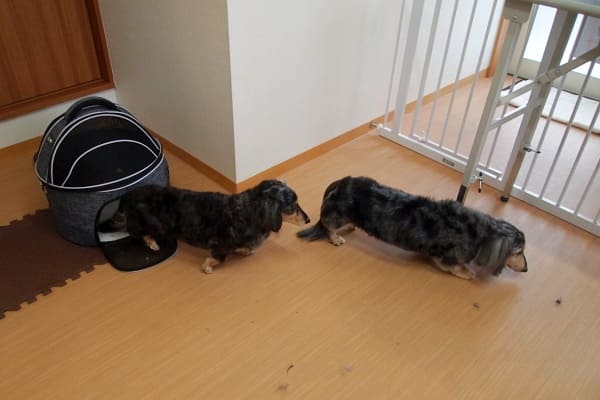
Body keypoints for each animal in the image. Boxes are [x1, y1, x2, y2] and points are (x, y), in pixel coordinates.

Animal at [101, 180, 310, 273]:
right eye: (292, 205)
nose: (308, 220)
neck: (249, 211)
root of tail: (127, 195)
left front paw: (244, 251)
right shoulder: (221, 245)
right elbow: (219, 258)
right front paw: (207, 267)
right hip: (152, 224)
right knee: (137, 233)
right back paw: (152, 243)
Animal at [297, 176, 527, 280]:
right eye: (518, 251)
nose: (526, 269)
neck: (477, 232)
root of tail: (339, 183)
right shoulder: (445, 257)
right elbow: (454, 267)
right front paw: (468, 273)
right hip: (338, 215)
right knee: (329, 226)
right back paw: (336, 238)